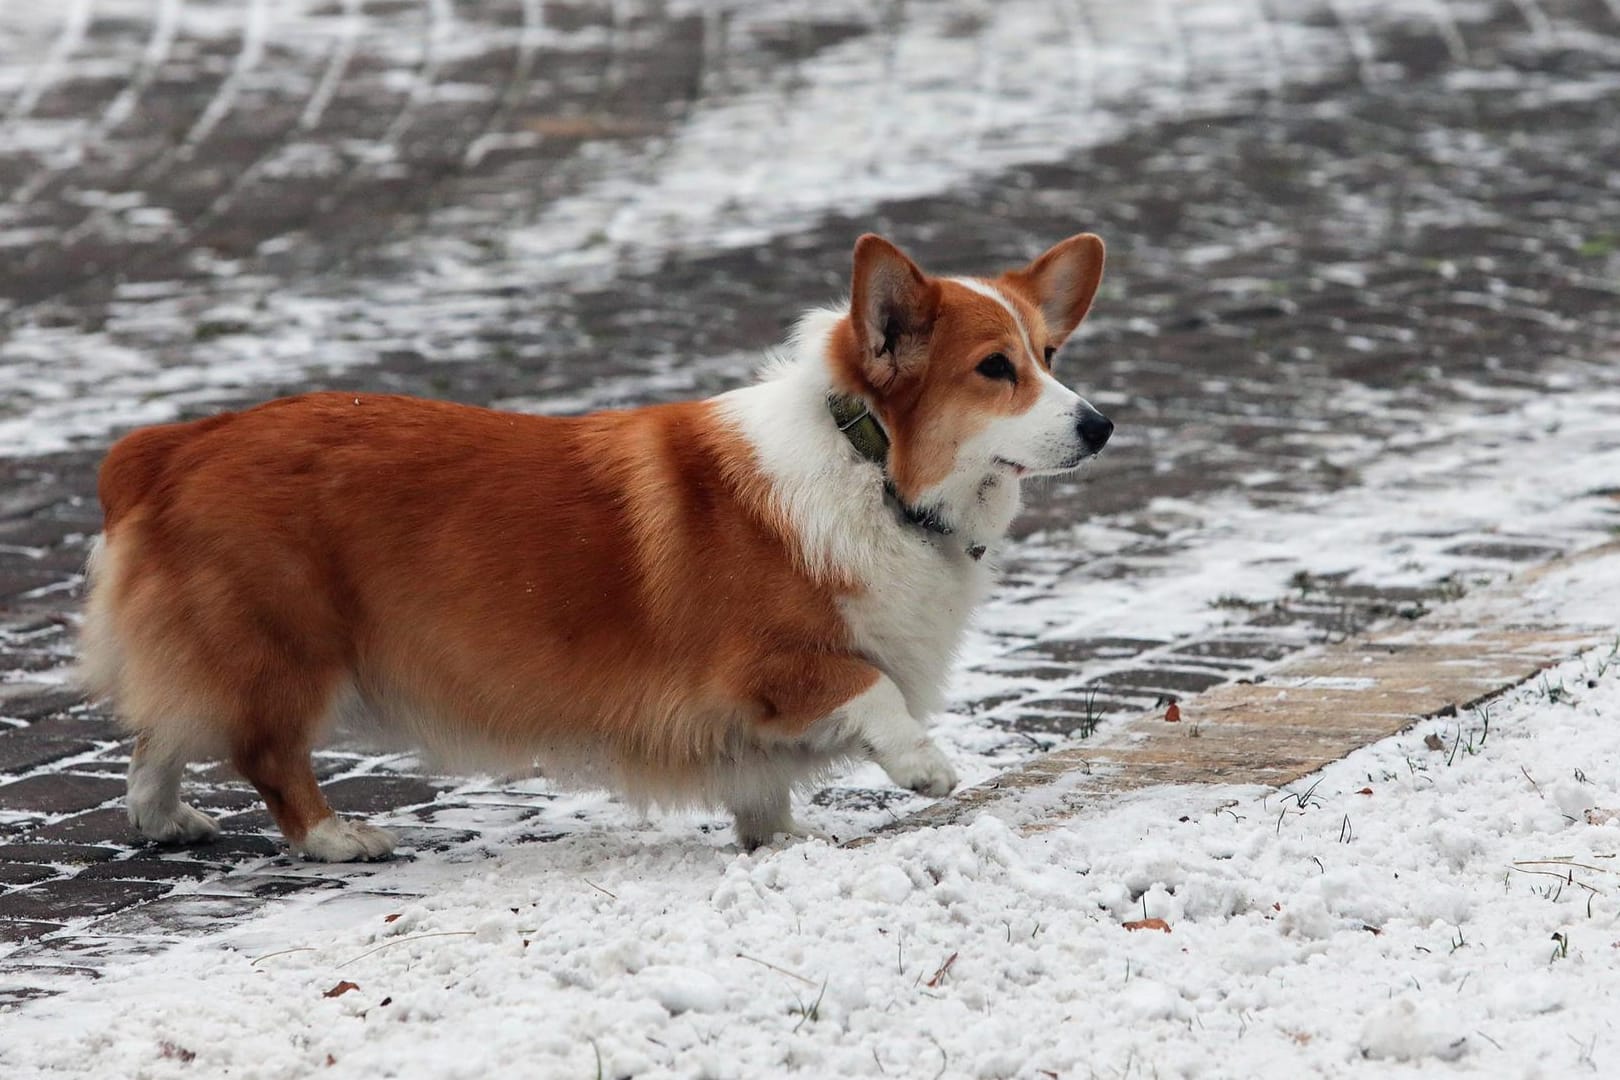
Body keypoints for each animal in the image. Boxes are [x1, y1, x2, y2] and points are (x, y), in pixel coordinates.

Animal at [78, 234, 1114, 861]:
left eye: (1049, 356)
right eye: (995, 370)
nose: (1102, 426)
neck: (871, 468)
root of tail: (168, 447)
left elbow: (766, 791)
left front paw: (777, 848)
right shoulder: (763, 667)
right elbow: (873, 693)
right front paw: (925, 766)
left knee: (160, 731)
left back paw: (164, 819)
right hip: (289, 648)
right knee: (265, 752)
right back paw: (335, 836)